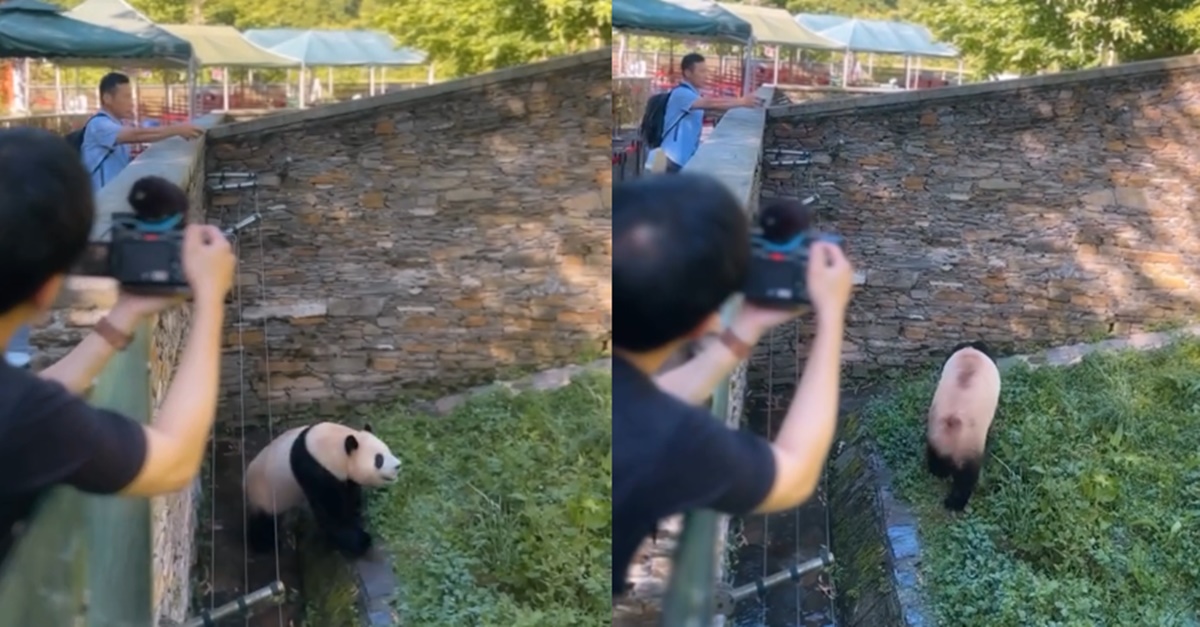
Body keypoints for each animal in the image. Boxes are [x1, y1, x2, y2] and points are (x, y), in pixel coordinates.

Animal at [244, 420, 403, 557]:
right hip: (265, 492)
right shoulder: (313, 469)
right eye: (379, 459)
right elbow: (330, 512)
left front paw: (356, 513)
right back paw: (263, 545)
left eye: (388, 450)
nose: (398, 465)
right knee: (264, 521)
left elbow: (350, 492)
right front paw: (360, 540)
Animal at [926, 338, 1003, 509]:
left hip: (935, 432)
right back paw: (955, 503)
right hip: (969, 446)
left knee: (934, 458)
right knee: (966, 478)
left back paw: (939, 472)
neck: (971, 353)